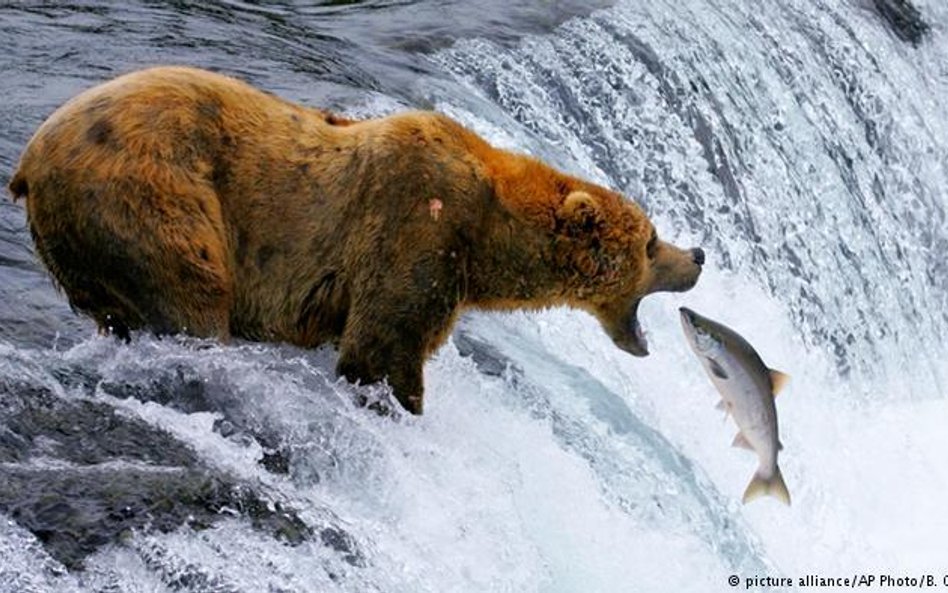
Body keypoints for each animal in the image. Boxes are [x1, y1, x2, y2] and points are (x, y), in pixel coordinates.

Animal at [7, 66, 704, 412]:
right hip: (150, 195)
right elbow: (382, 346)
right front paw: (400, 402)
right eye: (650, 242)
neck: (490, 237)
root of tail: (29, 162)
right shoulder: (417, 226)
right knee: (191, 295)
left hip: (81, 246)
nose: (696, 255)